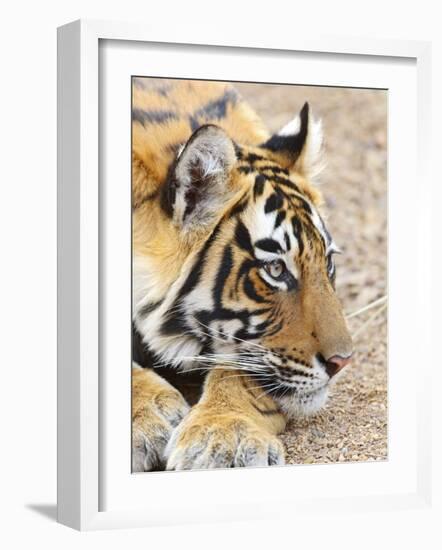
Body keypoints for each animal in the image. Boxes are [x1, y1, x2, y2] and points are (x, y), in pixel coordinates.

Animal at [130, 80, 352, 472]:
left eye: (326, 261)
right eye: (275, 269)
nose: (342, 363)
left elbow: (240, 372)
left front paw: (225, 437)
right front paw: (151, 418)